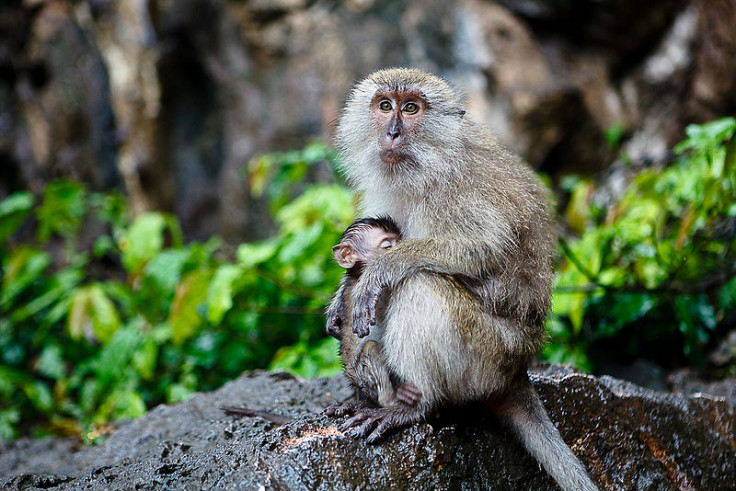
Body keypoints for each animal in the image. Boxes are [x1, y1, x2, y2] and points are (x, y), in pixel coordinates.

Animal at [326, 218, 422, 412]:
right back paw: (391, 399)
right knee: (370, 349)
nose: (401, 251)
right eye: (387, 246)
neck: (358, 275)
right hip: (363, 378)